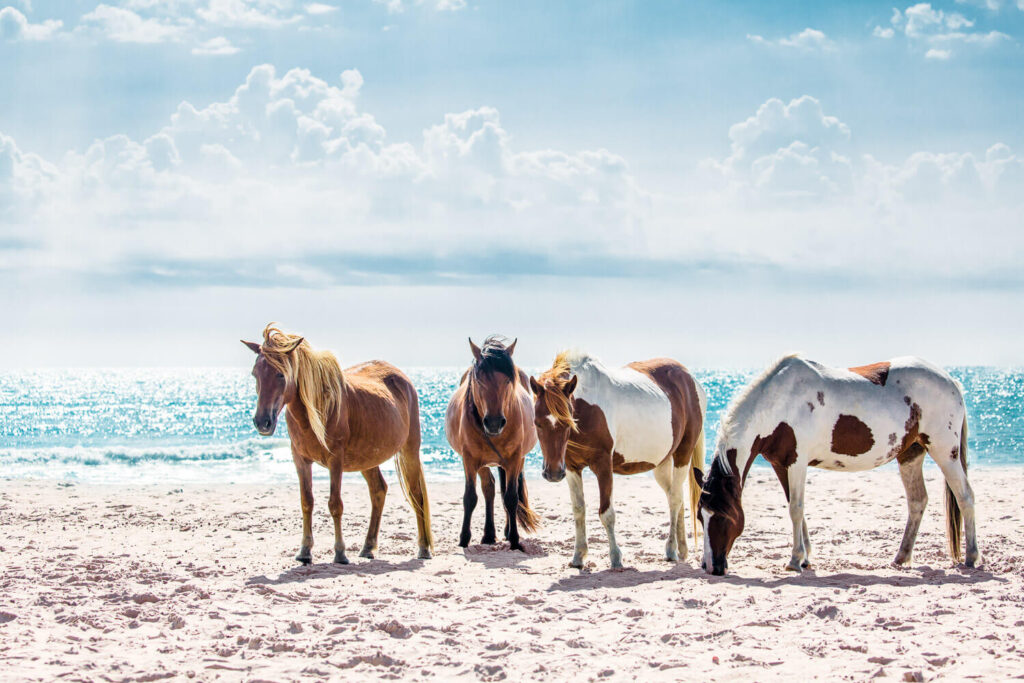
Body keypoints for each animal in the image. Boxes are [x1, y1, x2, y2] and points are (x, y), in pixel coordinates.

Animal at [242, 324, 434, 564]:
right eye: (255, 373)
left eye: (280, 374)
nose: (262, 422)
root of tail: (402, 378)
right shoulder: (301, 461)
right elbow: (307, 502)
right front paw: (305, 551)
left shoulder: (335, 461)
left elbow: (335, 504)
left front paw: (340, 552)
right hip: (368, 458)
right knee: (378, 491)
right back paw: (368, 547)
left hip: (410, 450)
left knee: (416, 494)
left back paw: (423, 548)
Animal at [445, 336, 539, 551]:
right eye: (479, 380)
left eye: (508, 380)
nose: (494, 423)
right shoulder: (470, 460)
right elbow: (470, 497)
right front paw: (464, 539)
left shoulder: (514, 459)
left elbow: (511, 498)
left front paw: (514, 539)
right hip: (483, 463)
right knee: (489, 488)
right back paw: (488, 534)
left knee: (504, 491)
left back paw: (505, 531)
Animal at [530, 350, 706, 568]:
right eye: (537, 423)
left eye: (568, 422)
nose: (553, 473)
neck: (588, 408)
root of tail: (689, 378)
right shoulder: (571, 467)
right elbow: (578, 510)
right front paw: (578, 556)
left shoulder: (603, 466)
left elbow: (607, 513)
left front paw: (615, 558)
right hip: (662, 463)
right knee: (677, 496)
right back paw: (682, 549)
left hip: (683, 454)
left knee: (674, 499)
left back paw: (671, 549)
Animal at [697, 354, 980, 576]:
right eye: (701, 516)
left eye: (723, 515)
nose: (711, 567)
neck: (779, 403)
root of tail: (951, 381)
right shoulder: (781, 464)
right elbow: (796, 509)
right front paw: (805, 558)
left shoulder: (797, 463)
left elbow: (796, 509)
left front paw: (794, 561)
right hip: (911, 454)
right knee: (917, 501)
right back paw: (901, 557)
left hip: (945, 452)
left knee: (965, 496)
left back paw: (971, 557)